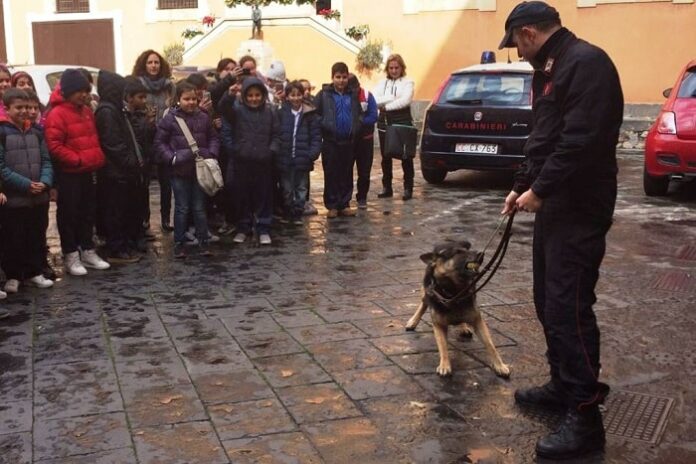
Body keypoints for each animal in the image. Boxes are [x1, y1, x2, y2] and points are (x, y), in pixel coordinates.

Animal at [402, 241, 512, 378]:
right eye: (458, 252)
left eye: (467, 249)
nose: (481, 253)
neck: (455, 291)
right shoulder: (438, 324)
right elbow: (443, 345)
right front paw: (444, 365)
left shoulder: (477, 320)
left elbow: (490, 344)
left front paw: (499, 365)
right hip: (426, 290)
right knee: (423, 304)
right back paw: (413, 321)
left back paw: (463, 326)